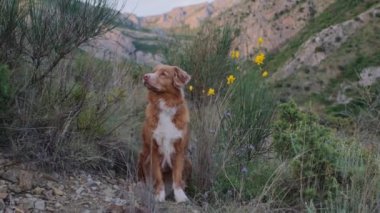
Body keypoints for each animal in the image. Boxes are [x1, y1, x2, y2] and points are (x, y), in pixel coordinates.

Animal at [138, 64, 193, 202]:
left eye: (163, 74)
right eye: (153, 71)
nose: (145, 76)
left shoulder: (179, 150)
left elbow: (177, 176)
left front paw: (180, 196)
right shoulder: (154, 149)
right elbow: (158, 176)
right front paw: (159, 195)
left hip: (188, 161)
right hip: (142, 155)